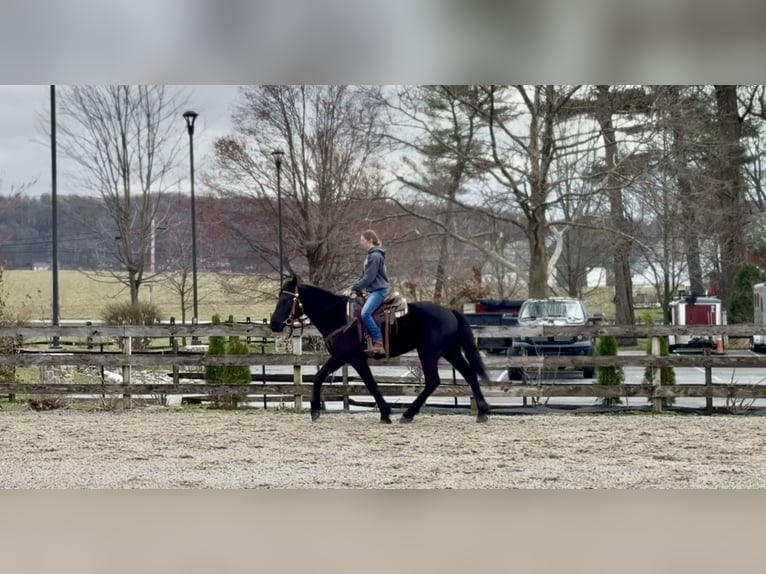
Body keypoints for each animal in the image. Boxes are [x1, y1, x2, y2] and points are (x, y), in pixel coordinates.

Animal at [269, 276, 493, 424]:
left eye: (287, 299)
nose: (273, 324)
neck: (338, 316)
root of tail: (450, 311)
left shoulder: (351, 357)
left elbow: (369, 383)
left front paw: (385, 412)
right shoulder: (340, 357)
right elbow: (319, 377)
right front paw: (315, 409)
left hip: (428, 353)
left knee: (433, 381)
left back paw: (408, 414)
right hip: (450, 351)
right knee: (469, 374)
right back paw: (482, 412)